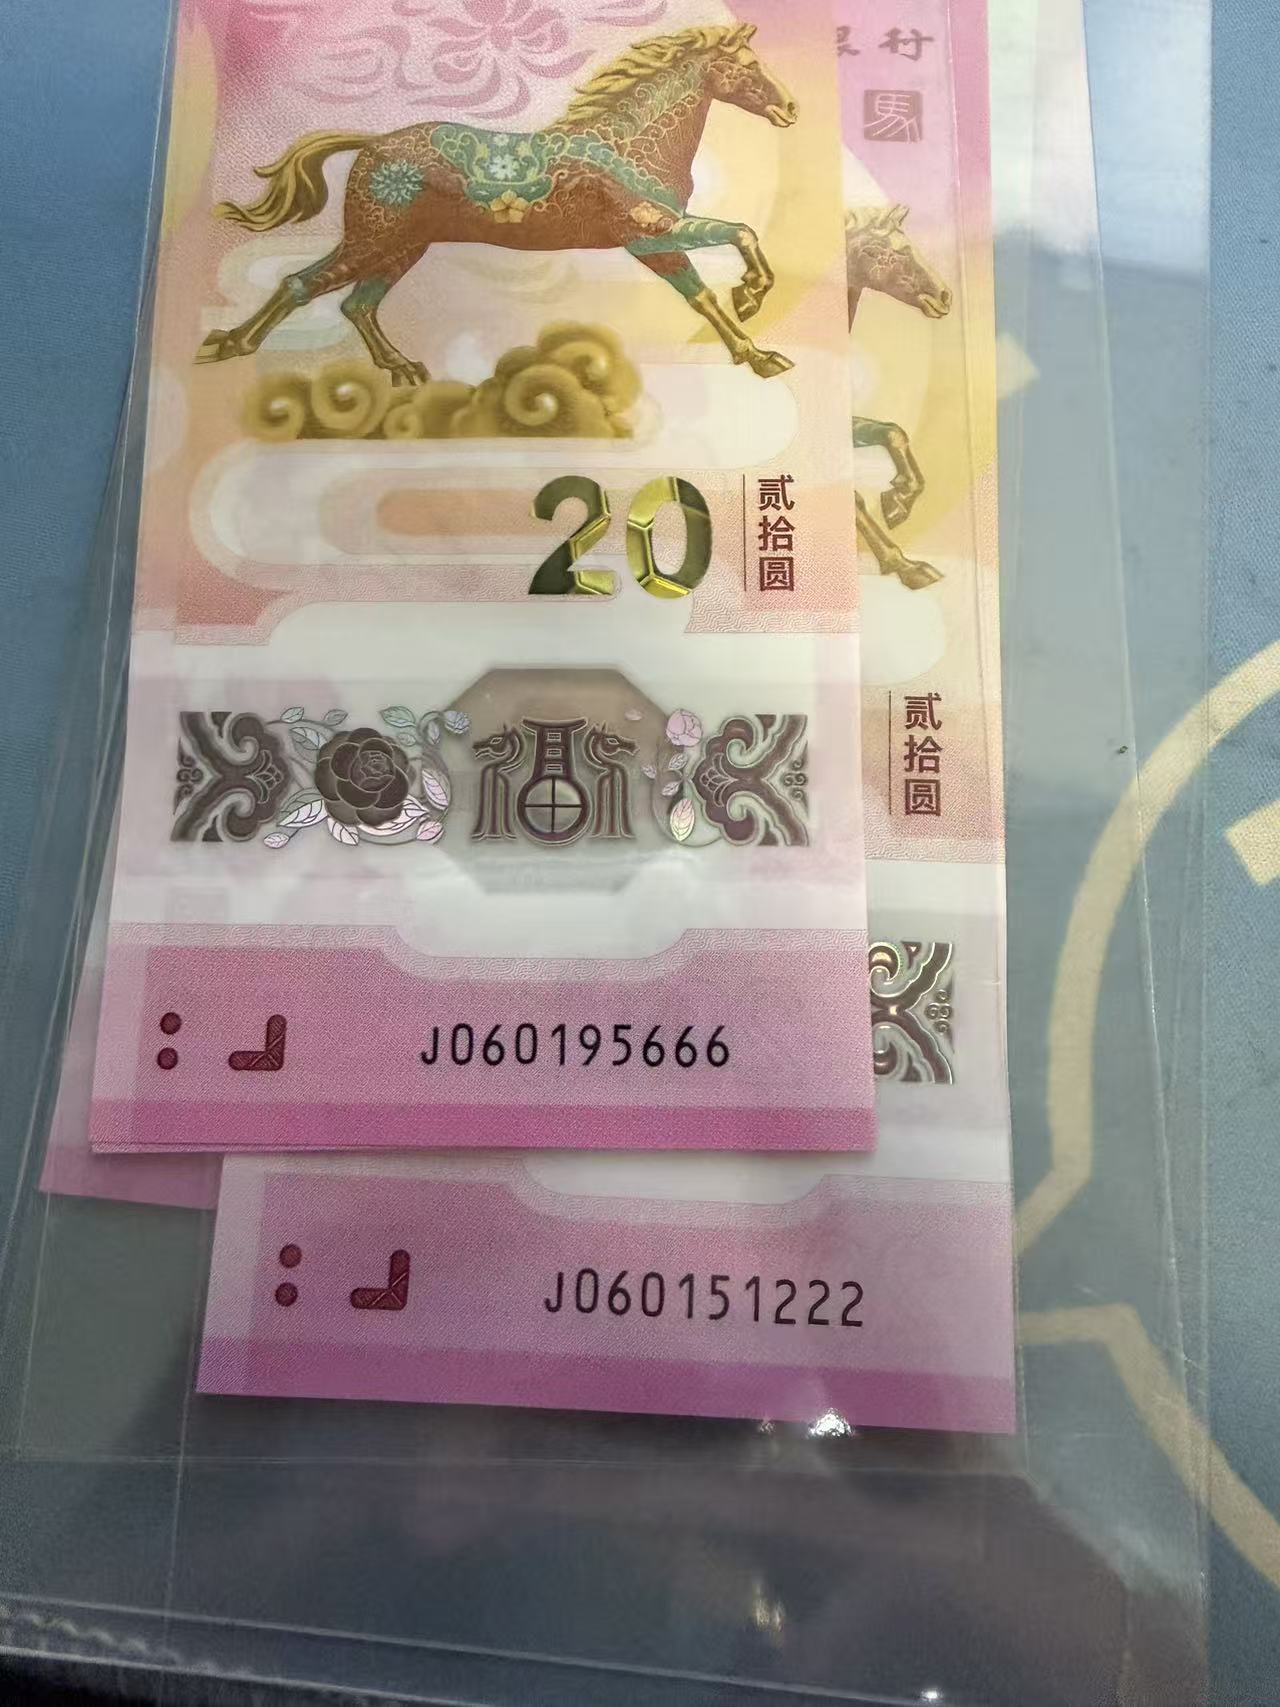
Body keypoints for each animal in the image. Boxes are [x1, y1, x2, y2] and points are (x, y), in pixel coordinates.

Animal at [197, 23, 798, 385]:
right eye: (748, 65)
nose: (790, 108)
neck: (632, 144)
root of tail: (372, 144)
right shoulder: (649, 234)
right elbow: (732, 248)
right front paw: (752, 311)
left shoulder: (658, 236)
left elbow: (712, 280)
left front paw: (756, 336)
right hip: (374, 238)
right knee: (300, 284)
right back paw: (228, 345)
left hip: (401, 246)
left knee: (356, 305)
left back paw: (403, 369)